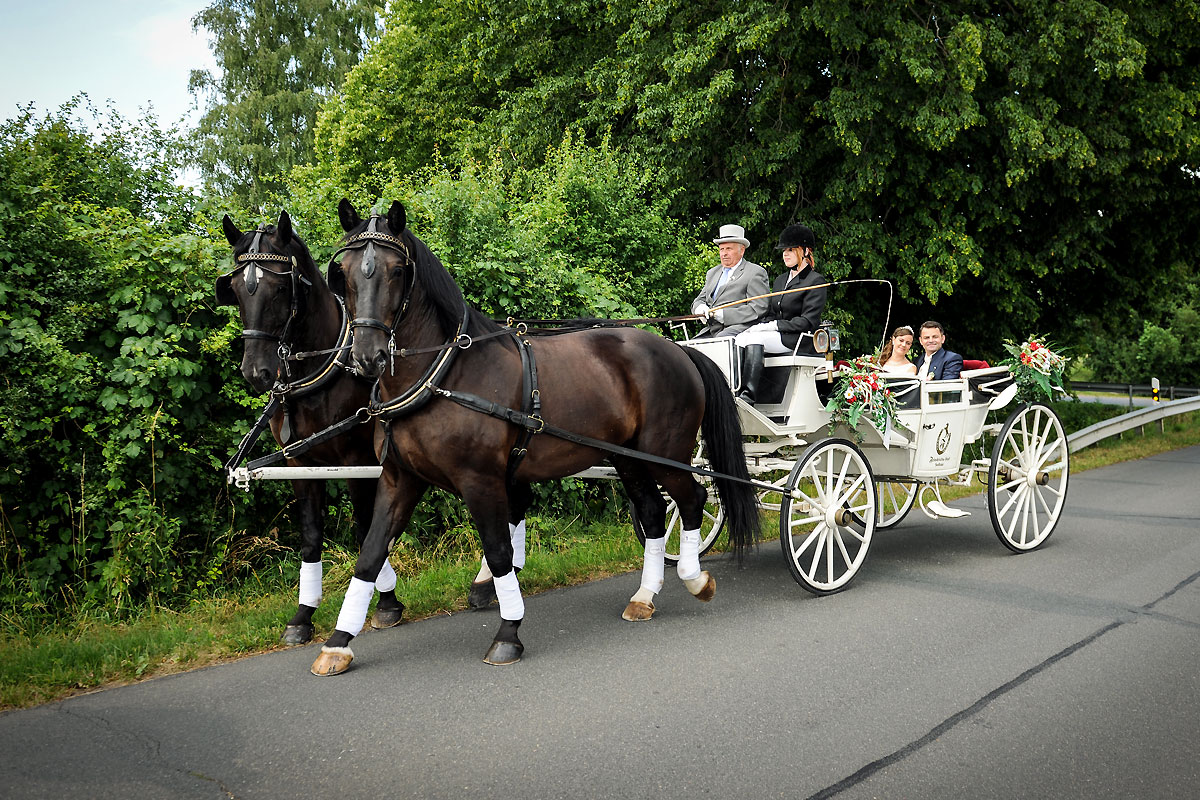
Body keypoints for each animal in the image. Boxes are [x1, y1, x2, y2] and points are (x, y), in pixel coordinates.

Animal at [218, 200, 758, 676]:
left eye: (396, 271)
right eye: (344, 273)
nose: (367, 356)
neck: (442, 373)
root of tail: (677, 348)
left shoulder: (474, 479)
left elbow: (498, 551)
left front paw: (507, 632)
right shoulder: (394, 477)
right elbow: (369, 551)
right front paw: (338, 641)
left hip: (664, 453)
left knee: (692, 498)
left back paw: (694, 577)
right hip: (626, 458)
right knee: (650, 513)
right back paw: (645, 595)